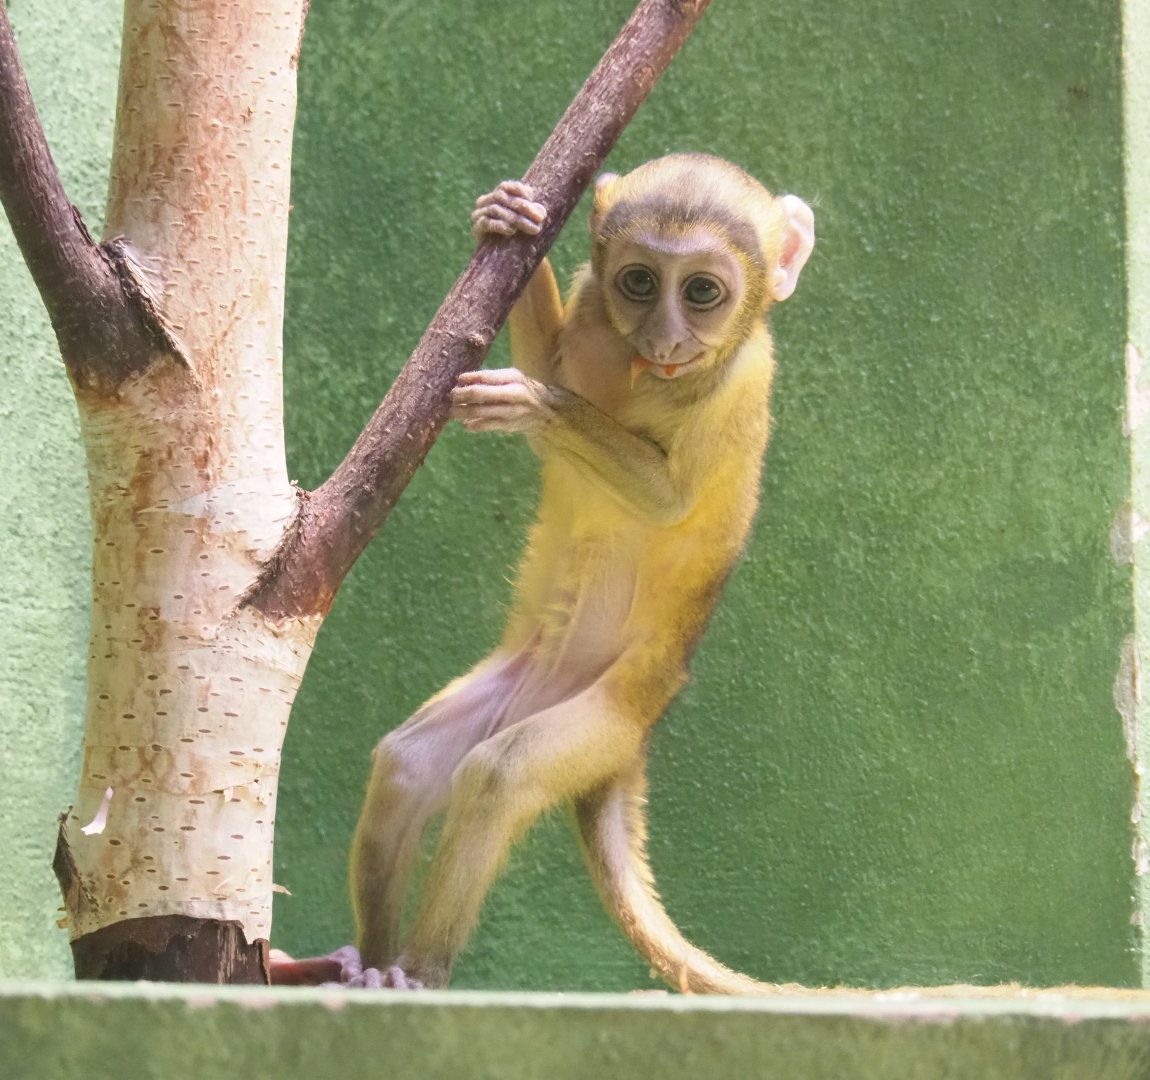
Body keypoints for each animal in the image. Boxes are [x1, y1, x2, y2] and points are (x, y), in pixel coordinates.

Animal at [274, 154, 814, 993]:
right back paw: (369, 965)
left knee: (497, 775)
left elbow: (667, 501)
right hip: (526, 682)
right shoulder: (594, 311)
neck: (647, 372)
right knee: (407, 768)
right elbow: (556, 362)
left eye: (701, 292)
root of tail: (637, 735)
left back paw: (418, 973)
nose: (665, 336)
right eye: (638, 282)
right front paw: (511, 216)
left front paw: (534, 403)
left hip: (608, 712)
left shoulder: (738, 387)